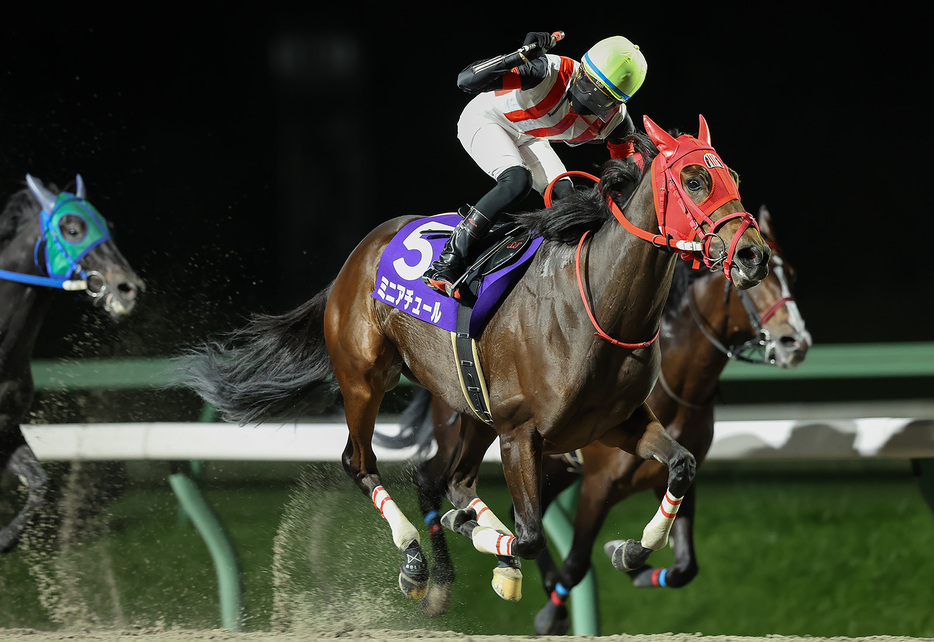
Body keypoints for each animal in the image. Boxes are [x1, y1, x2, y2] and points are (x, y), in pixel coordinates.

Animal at [0, 175, 144, 552]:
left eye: (108, 226)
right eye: (73, 229)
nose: (128, 288)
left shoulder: (7, 431)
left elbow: (40, 484)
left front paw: (6, 538)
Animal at [181, 116, 768, 604]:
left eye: (733, 175)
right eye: (694, 178)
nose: (753, 255)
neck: (600, 305)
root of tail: (356, 257)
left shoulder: (616, 424)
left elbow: (681, 466)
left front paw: (630, 550)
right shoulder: (522, 434)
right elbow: (528, 536)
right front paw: (490, 543)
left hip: (470, 403)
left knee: (453, 480)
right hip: (366, 381)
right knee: (362, 462)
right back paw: (417, 561)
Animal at [388, 206, 812, 624]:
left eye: (790, 273)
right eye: (755, 282)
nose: (796, 342)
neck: (677, 385)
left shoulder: (672, 476)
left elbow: (684, 566)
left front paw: (629, 560)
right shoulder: (598, 483)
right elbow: (577, 563)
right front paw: (551, 614)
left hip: (549, 464)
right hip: (467, 433)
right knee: (428, 481)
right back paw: (438, 585)